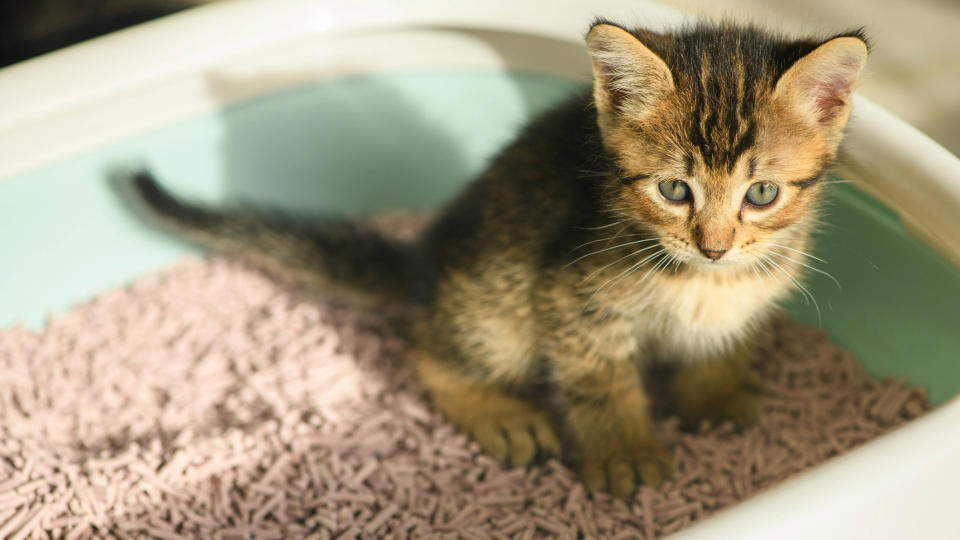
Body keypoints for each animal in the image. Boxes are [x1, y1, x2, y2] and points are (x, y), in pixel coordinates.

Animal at [116, 21, 868, 496]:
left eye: (762, 194)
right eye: (674, 190)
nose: (715, 243)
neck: (700, 277)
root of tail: (424, 265)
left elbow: (715, 345)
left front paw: (713, 392)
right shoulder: (571, 297)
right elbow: (601, 382)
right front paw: (623, 452)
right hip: (498, 302)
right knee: (427, 351)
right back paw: (498, 411)